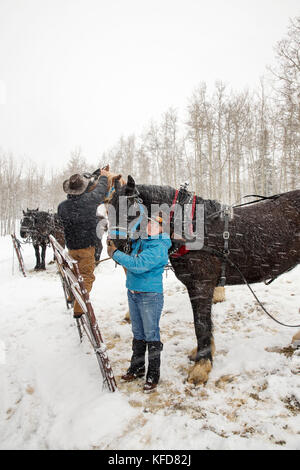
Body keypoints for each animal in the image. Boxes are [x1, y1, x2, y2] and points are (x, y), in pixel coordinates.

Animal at [108, 177, 300, 386]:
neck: (190, 227)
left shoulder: (201, 284)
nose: (115, 246)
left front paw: (202, 366)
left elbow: (200, 324)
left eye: (132, 208)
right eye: (108, 210)